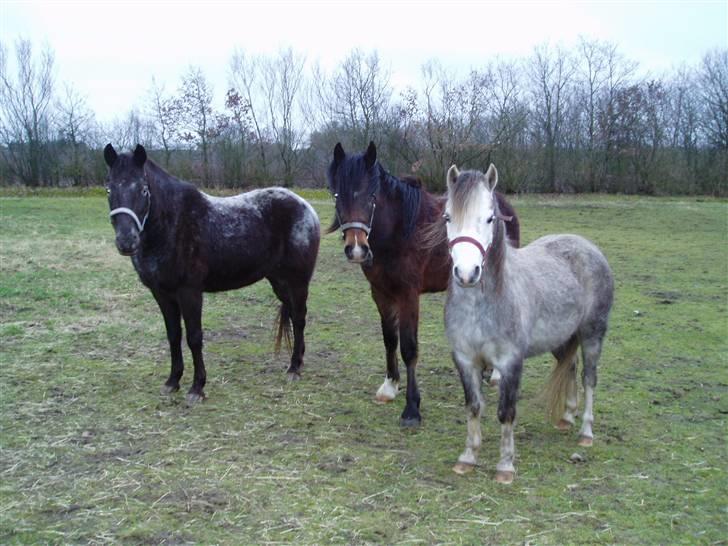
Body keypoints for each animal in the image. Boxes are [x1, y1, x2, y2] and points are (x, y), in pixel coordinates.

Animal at [104, 144, 320, 404]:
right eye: (109, 189)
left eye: (144, 189)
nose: (127, 241)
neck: (172, 224)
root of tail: (306, 208)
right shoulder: (162, 294)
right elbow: (173, 335)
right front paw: (172, 381)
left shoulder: (189, 292)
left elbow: (194, 337)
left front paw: (197, 388)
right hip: (278, 281)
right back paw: (299, 360)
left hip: (298, 281)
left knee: (299, 318)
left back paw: (294, 368)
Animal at [328, 141, 520, 424]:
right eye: (337, 196)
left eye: (371, 197)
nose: (357, 249)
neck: (399, 230)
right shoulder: (381, 293)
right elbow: (389, 339)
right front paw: (389, 386)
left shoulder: (408, 295)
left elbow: (409, 347)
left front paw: (412, 408)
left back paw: (496, 374)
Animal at [444, 164, 616, 482]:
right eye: (448, 217)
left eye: (490, 218)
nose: (466, 273)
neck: (481, 307)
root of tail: (587, 246)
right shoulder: (464, 359)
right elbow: (473, 406)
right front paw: (468, 457)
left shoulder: (511, 362)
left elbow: (506, 412)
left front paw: (505, 466)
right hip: (561, 339)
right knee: (570, 366)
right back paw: (566, 417)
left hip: (592, 335)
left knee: (589, 377)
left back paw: (586, 431)